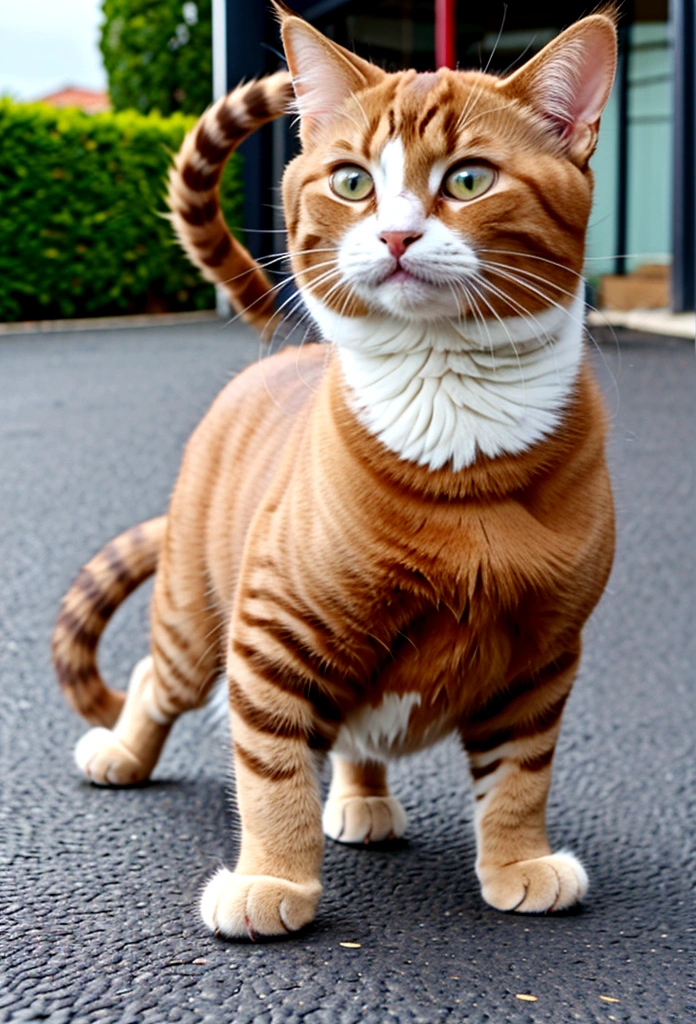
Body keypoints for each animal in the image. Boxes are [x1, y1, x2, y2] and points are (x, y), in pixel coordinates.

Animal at [55, 6, 618, 937]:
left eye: (468, 180)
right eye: (353, 183)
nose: (395, 234)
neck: (450, 409)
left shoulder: (542, 660)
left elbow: (519, 778)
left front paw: (517, 861)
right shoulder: (272, 634)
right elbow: (272, 774)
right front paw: (272, 879)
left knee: (359, 738)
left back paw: (363, 799)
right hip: (194, 615)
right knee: (154, 676)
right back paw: (125, 753)